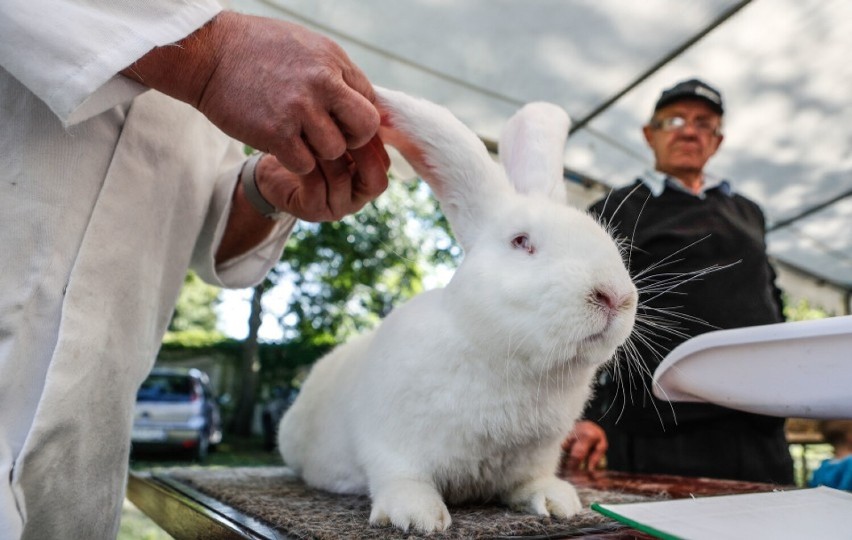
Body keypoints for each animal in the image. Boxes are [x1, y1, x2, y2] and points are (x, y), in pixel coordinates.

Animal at [280, 86, 640, 532]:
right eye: (521, 241)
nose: (615, 296)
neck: (511, 364)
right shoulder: (391, 443)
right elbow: (402, 478)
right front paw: (417, 517)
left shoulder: (535, 459)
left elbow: (532, 482)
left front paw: (558, 502)